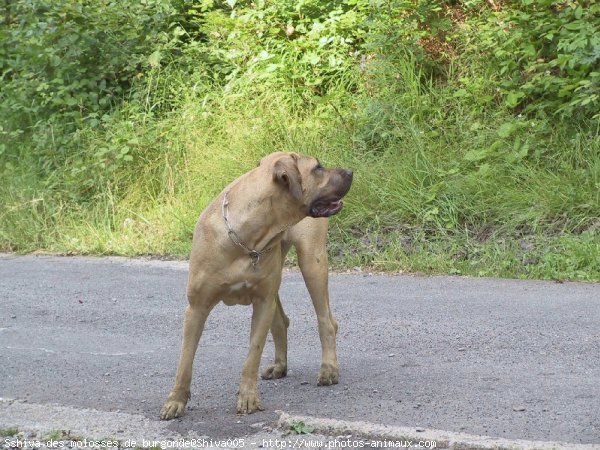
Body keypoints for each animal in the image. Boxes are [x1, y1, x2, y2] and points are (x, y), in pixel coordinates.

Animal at [162, 151, 354, 418]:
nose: (350, 171)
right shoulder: (196, 308)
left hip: (312, 262)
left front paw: (248, 397)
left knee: (326, 320)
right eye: (318, 168)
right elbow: (185, 360)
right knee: (282, 321)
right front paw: (176, 401)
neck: (248, 236)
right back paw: (280, 366)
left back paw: (328, 369)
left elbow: (252, 354)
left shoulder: (262, 303)